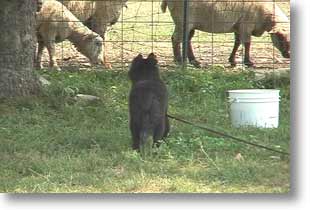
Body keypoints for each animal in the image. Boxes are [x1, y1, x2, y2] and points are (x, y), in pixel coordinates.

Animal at [161, 0, 290, 67]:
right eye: (280, 38)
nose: (288, 55)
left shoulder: (238, 26)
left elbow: (237, 43)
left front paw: (232, 60)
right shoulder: (245, 26)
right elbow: (247, 44)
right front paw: (248, 62)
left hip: (189, 24)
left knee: (186, 39)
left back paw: (193, 61)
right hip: (183, 21)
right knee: (176, 38)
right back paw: (179, 60)